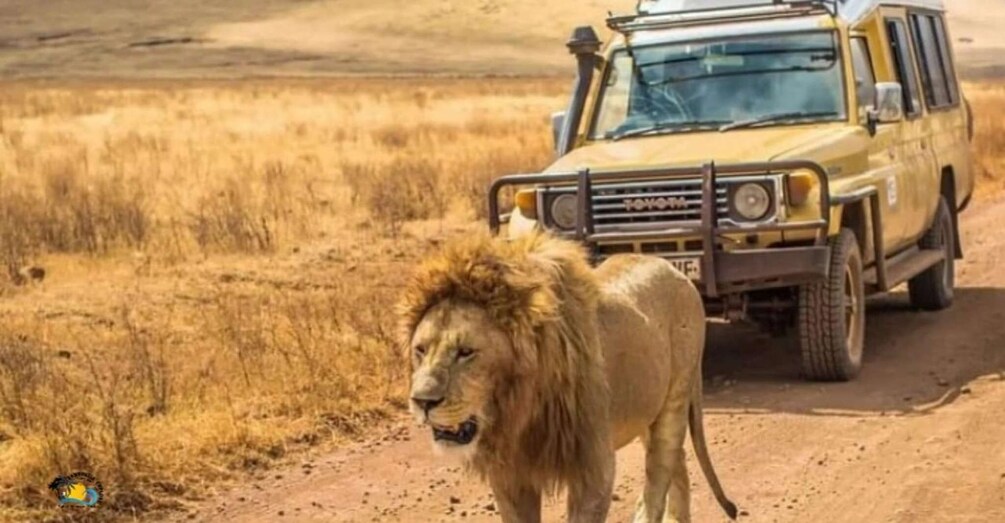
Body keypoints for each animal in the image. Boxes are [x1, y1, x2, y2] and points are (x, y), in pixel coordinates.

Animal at [399, 232, 737, 523]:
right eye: (420, 350)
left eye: (466, 352)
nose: (421, 401)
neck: (519, 410)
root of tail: (673, 269)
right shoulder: (510, 474)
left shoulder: (593, 467)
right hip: (646, 410)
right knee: (678, 462)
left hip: (674, 399)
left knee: (660, 471)